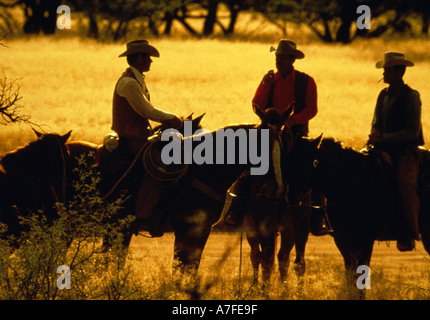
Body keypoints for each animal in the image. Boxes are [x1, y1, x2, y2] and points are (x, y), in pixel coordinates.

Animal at [284, 136, 430, 298]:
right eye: (289, 160)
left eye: (309, 162)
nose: (291, 197)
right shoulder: (342, 240)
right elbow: (351, 278)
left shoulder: (365, 240)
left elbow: (362, 278)